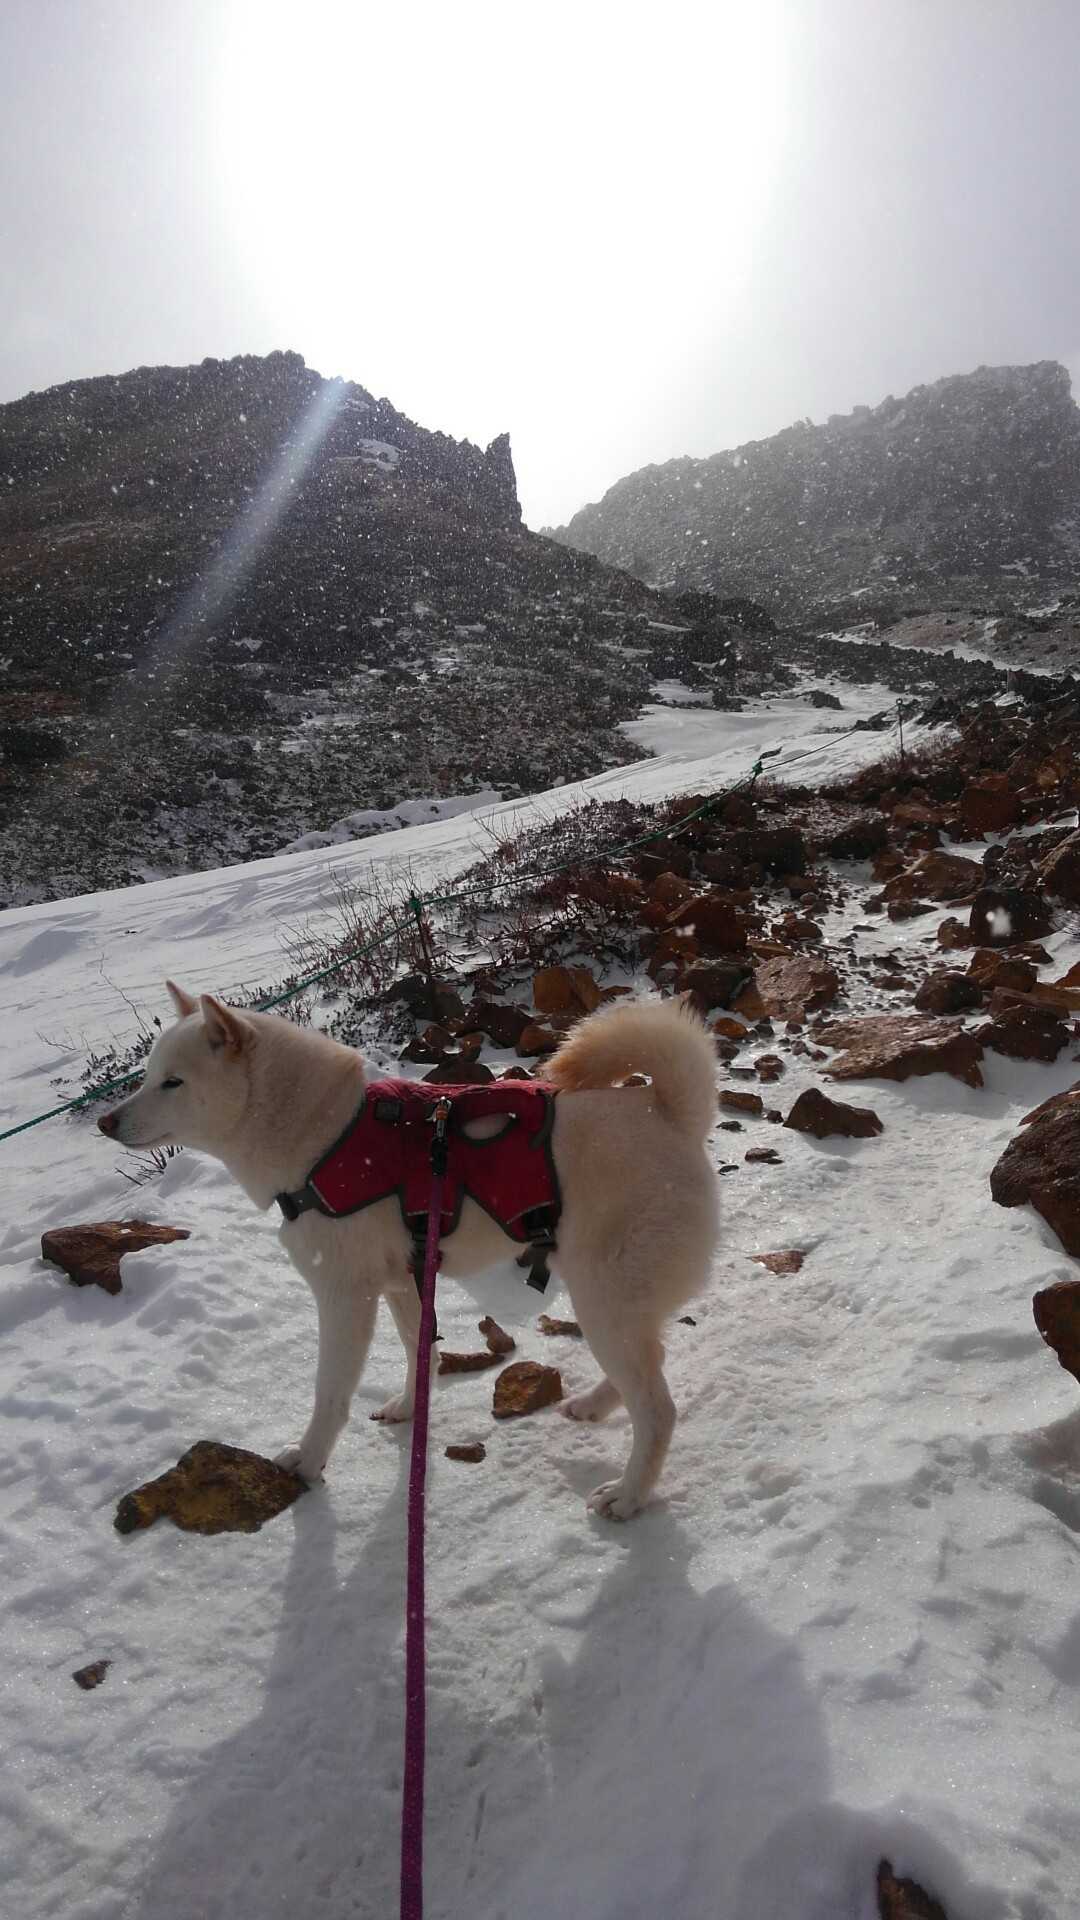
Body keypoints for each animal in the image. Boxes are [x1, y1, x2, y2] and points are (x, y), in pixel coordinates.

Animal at [98, 988, 719, 1519]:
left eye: (173, 1082)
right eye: (149, 1076)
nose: (105, 1122)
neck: (323, 1136)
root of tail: (669, 1114)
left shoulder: (344, 1298)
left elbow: (330, 1393)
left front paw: (308, 1461)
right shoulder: (403, 1283)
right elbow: (421, 1353)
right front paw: (410, 1408)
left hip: (602, 1300)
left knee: (657, 1409)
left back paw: (628, 1496)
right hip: (610, 1302)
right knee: (650, 1365)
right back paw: (593, 1406)